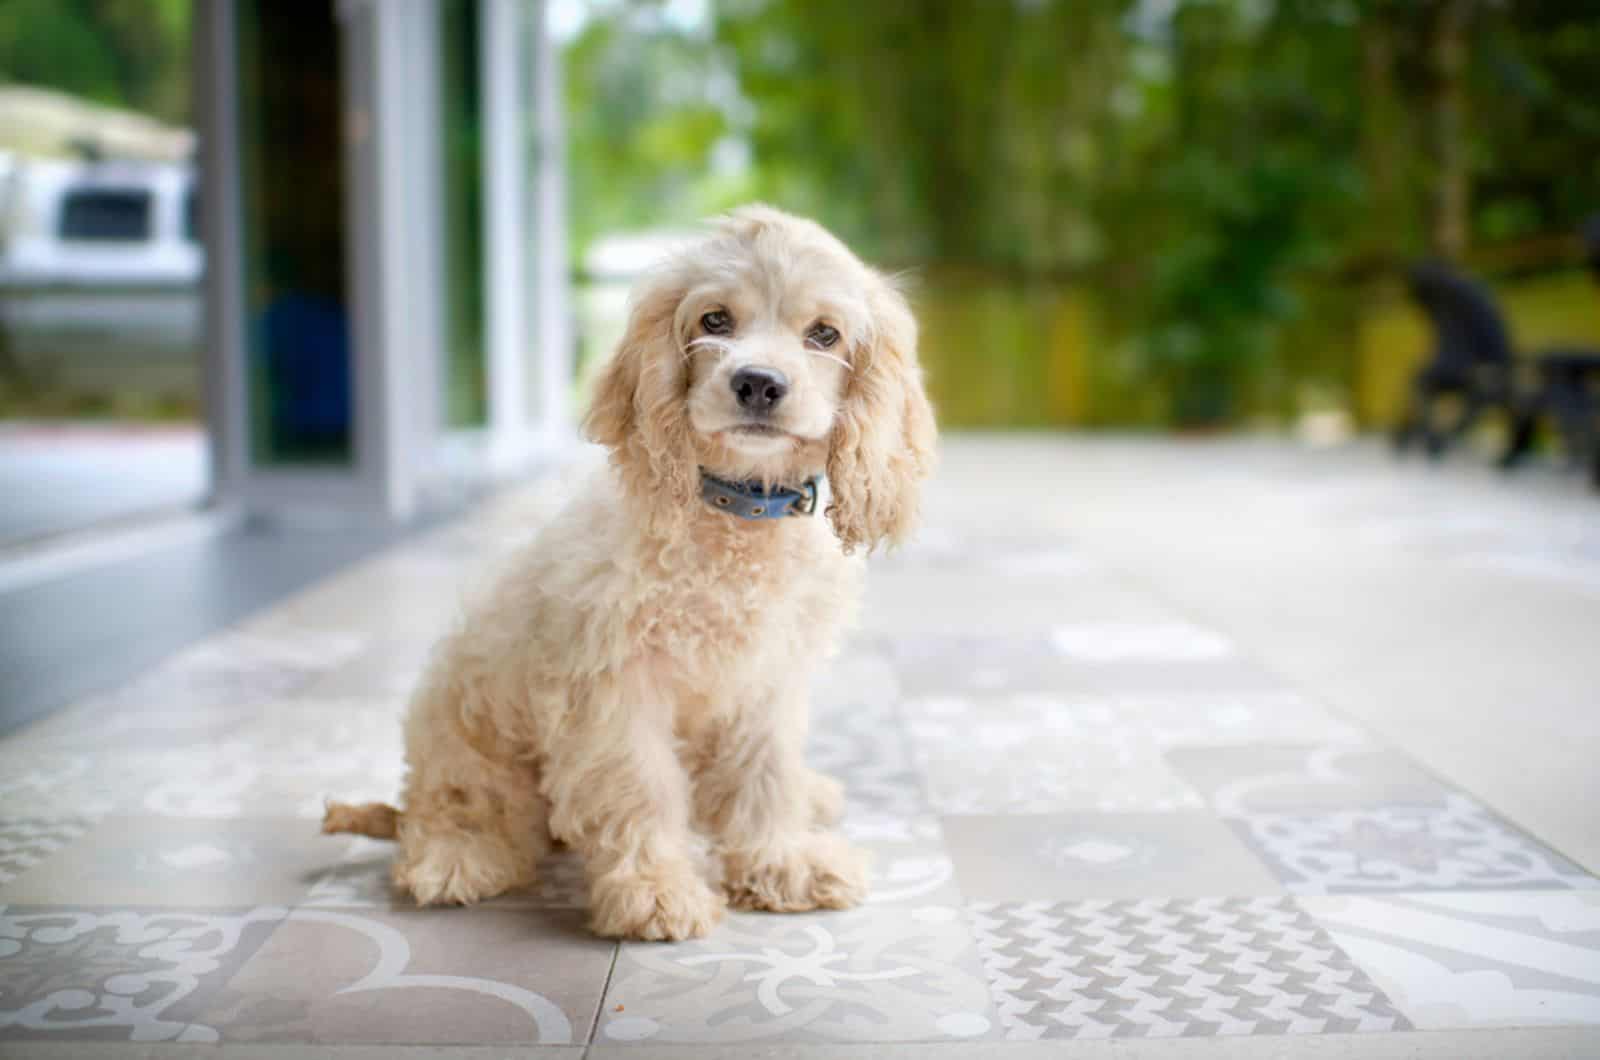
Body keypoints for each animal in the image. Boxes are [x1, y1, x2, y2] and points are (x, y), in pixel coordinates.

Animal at [324, 203, 934, 941]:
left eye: (824, 334)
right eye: (714, 321)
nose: (758, 383)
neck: (735, 516)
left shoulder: (767, 680)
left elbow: (765, 777)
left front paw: (781, 863)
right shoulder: (616, 685)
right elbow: (641, 788)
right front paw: (655, 892)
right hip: (463, 722)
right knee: (451, 804)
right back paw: (455, 857)